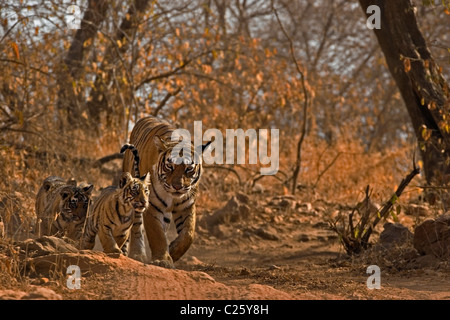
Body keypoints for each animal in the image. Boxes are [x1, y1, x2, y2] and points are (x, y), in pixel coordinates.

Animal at [123, 115, 211, 268]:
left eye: (189, 169)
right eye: (170, 166)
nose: (177, 186)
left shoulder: (186, 205)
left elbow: (188, 234)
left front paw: (173, 251)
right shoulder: (152, 205)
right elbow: (157, 234)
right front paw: (162, 260)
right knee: (136, 226)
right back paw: (137, 254)